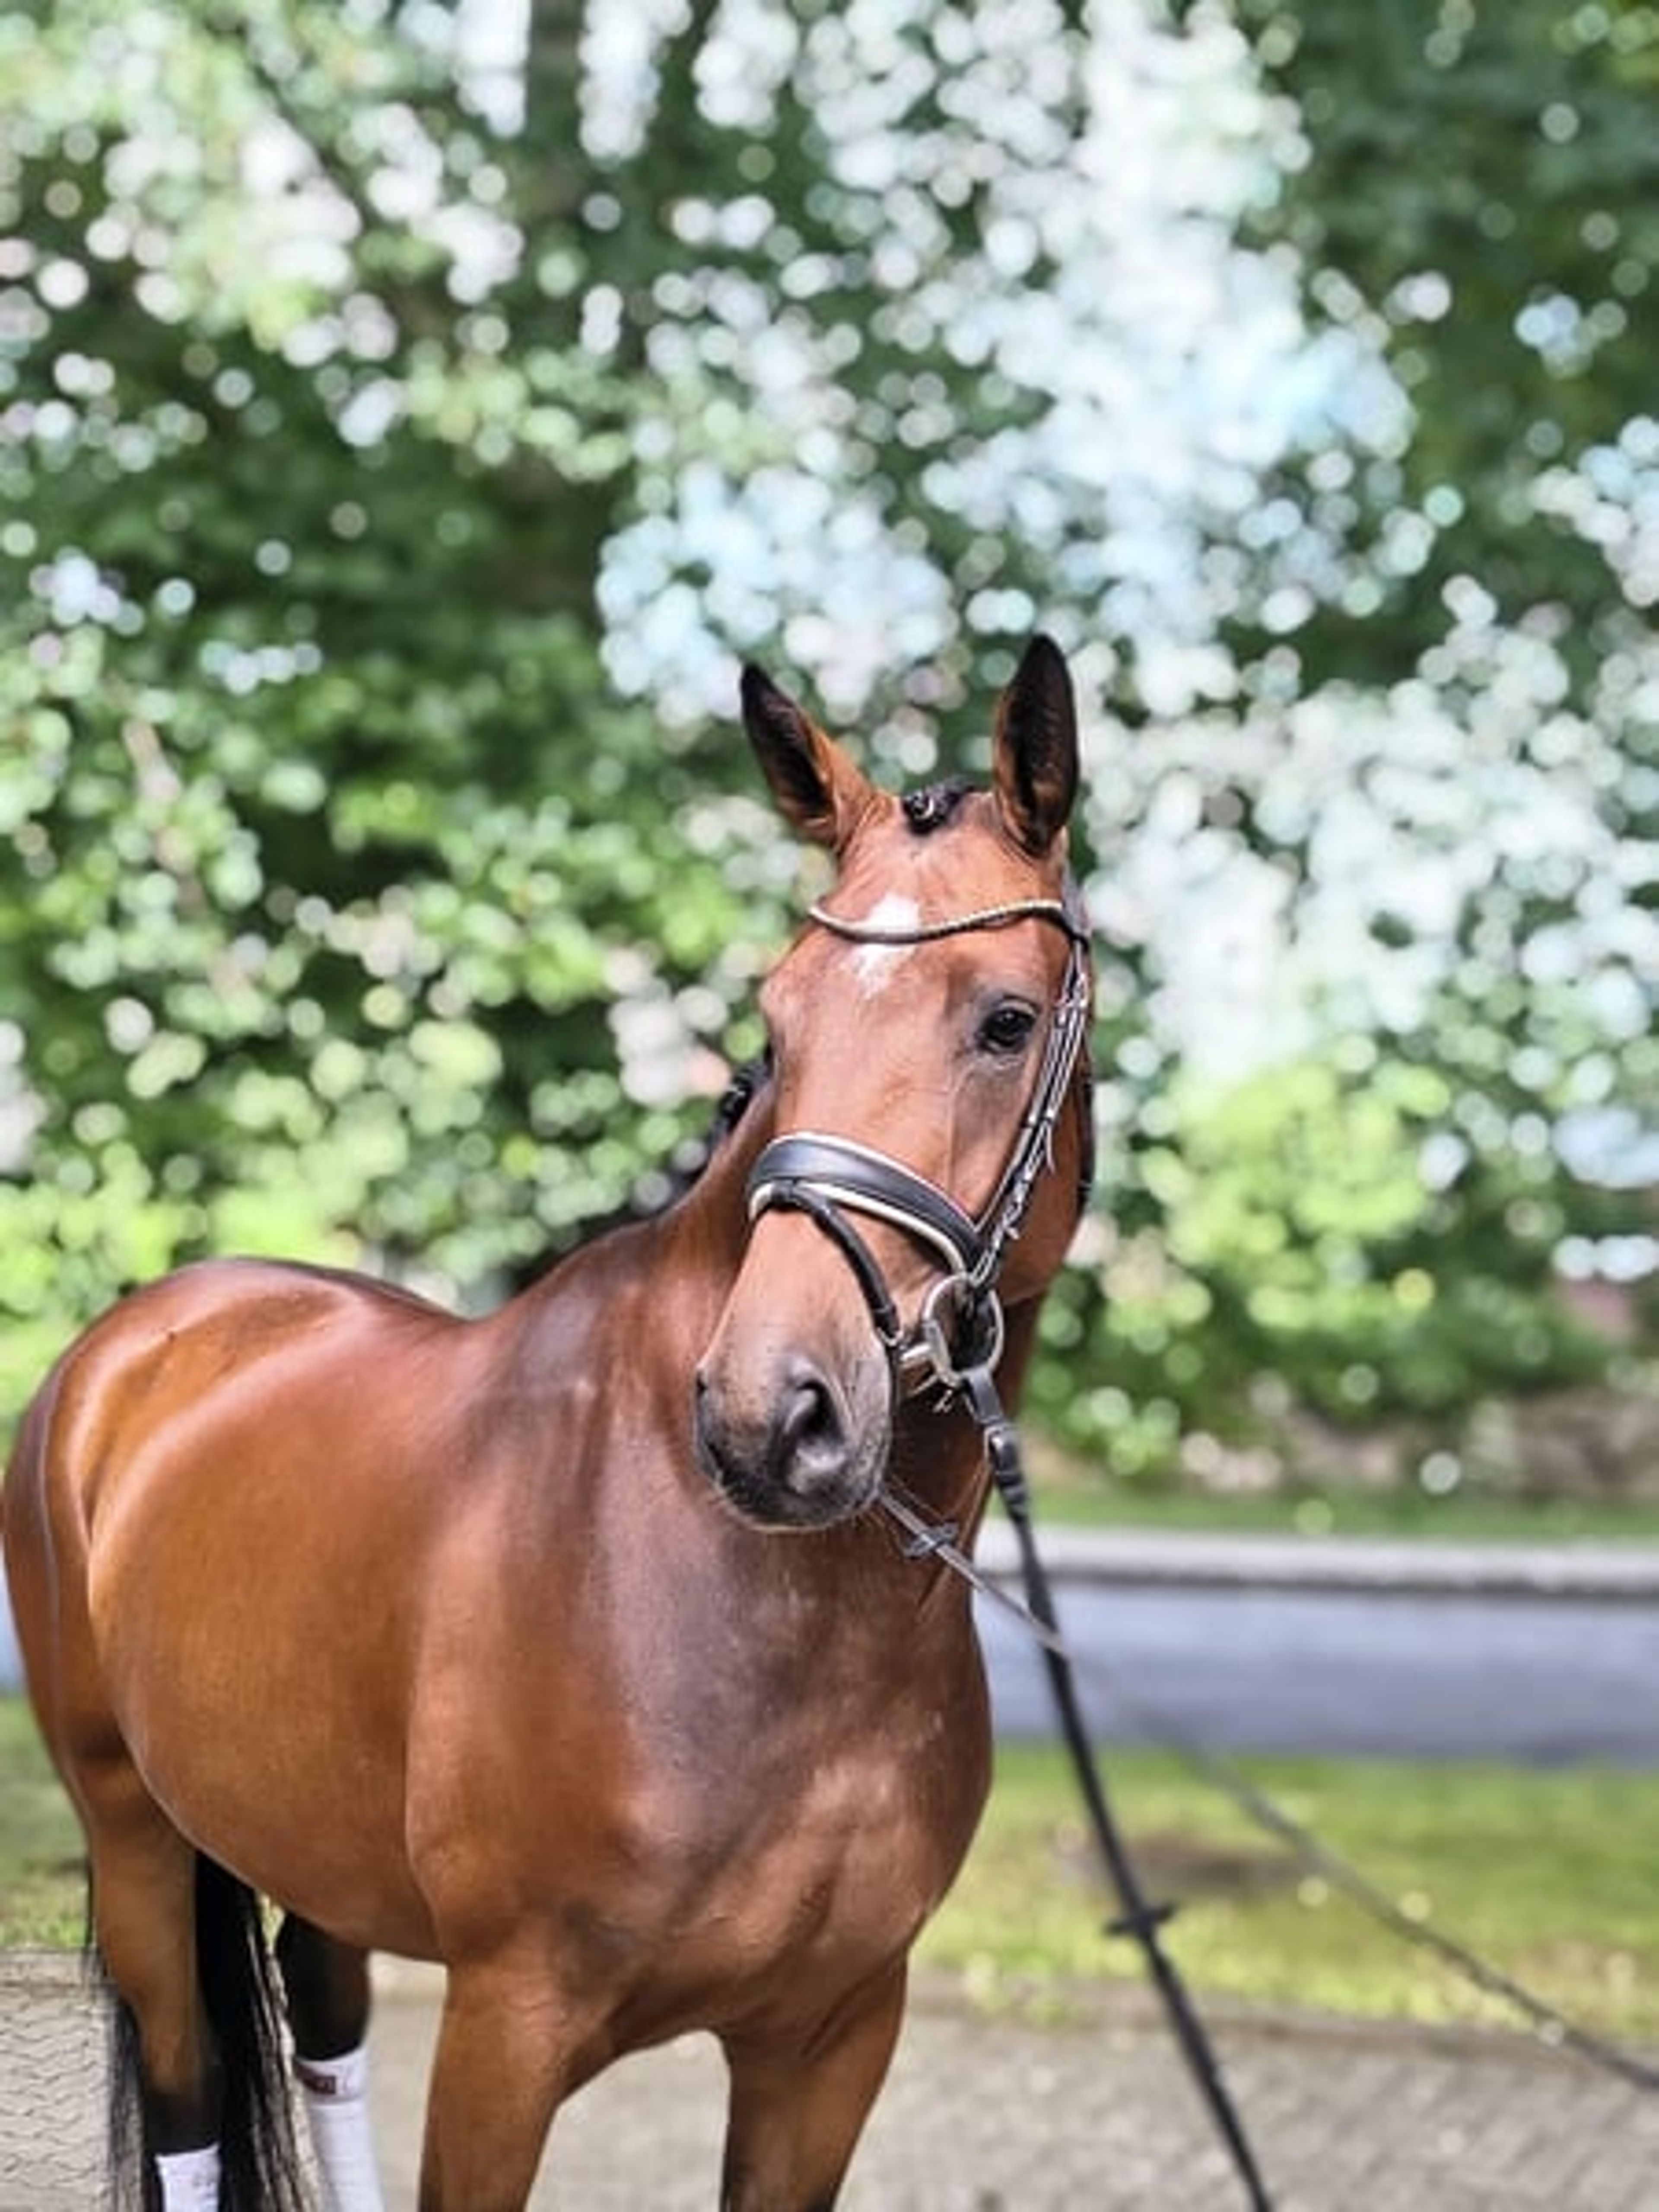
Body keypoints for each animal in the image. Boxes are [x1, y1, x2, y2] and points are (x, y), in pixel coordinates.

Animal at [2, 634, 1094, 2212]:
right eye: (776, 1025)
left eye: (1005, 1022)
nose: (772, 1415)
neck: (774, 1610)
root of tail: (136, 1340)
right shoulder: (509, 2028)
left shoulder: (831, 2041)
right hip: (130, 1833)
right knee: (190, 2089)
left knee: (323, 2035)